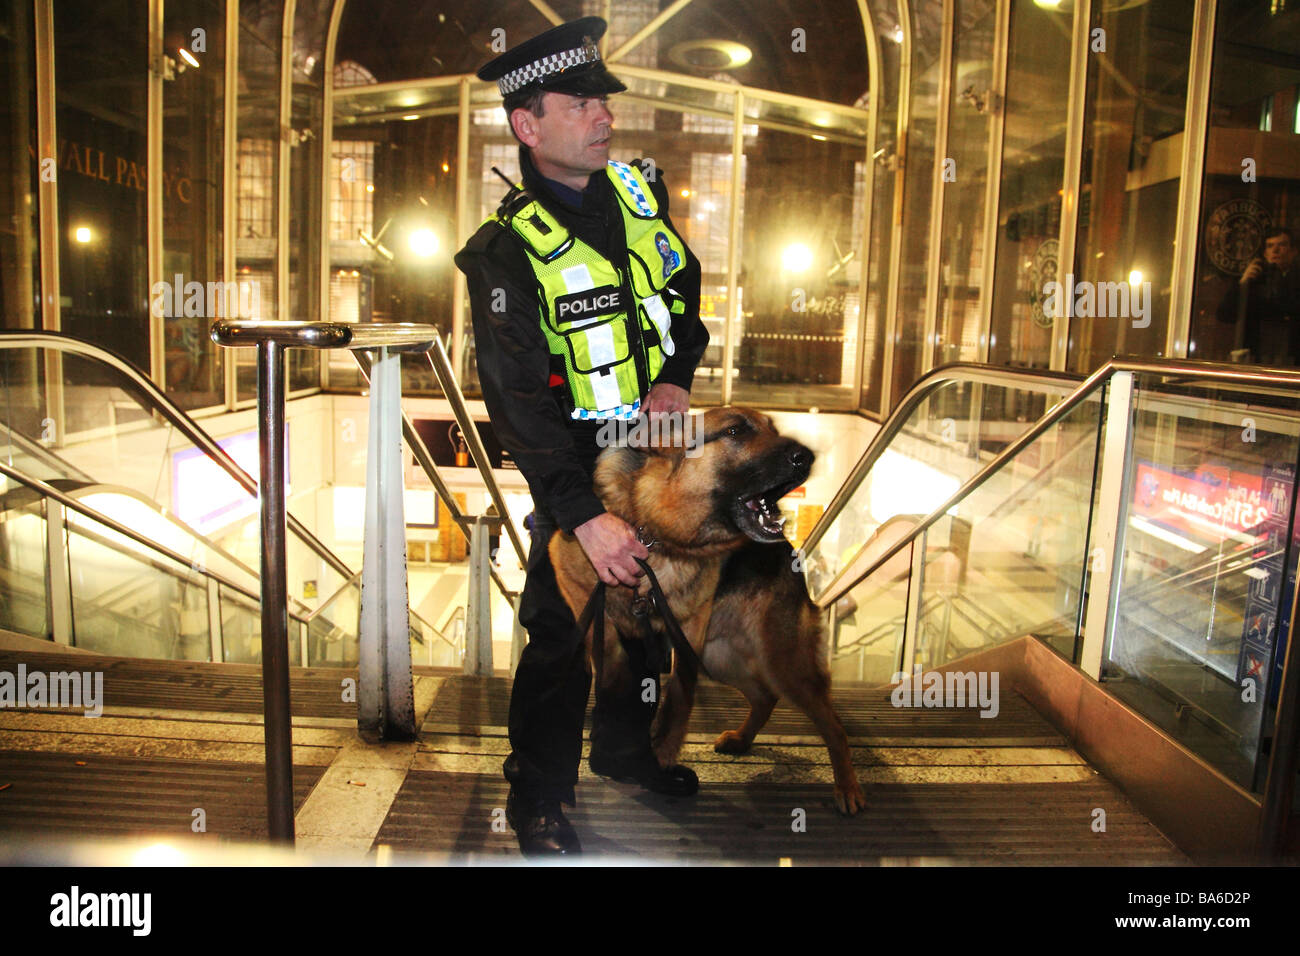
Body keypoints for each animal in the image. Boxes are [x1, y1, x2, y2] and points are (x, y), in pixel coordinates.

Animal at [548, 403, 863, 816]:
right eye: (734, 431)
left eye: (773, 428)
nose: (806, 457)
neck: (654, 532)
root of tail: (788, 551)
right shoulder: (569, 572)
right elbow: (610, 656)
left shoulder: (688, 632)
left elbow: (679, 695)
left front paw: (661, 757)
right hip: (722, 658)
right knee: (765, 696)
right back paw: (742, 739)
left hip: (780, 661)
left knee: (834, 725)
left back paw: (847, 787)